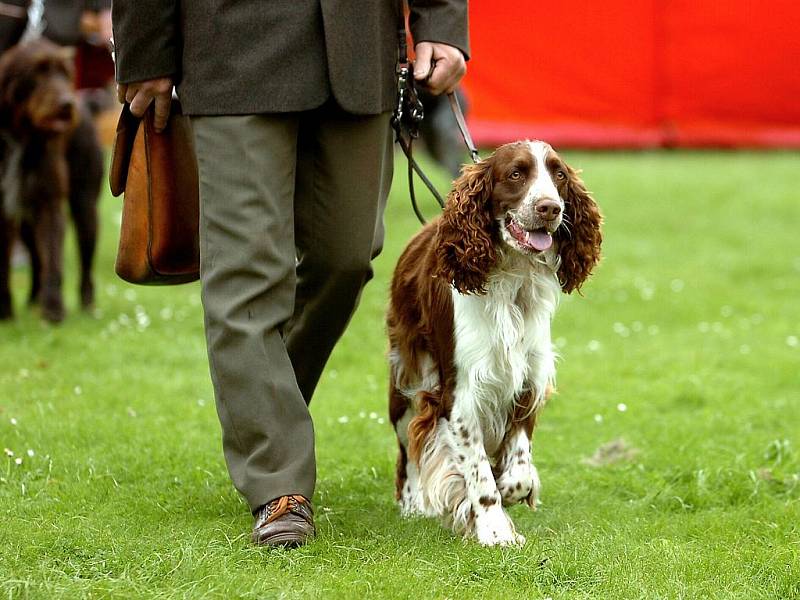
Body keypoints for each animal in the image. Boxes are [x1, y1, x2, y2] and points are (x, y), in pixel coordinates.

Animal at [0, 40, 103, 324]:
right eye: (38, 73)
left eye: (64, 73)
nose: (66, 104)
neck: (19, 136)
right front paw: (5, 313)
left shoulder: (49, 202)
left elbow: (54, 258)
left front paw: (54, 310)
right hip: (26, 224)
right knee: (36, 258)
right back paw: (32, 300)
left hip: (85, 205)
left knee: (85, 262)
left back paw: (87, 305)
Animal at [386, 139, 600, 544]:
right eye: (516, 173)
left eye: (559, 175)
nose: (550, 207)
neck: (513, 280)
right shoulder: (460, 395)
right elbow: (480, 476)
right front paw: (494, 530)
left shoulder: (527, 380)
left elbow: (517, 472)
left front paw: (509, 489)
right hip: (406, 379)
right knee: (408, 446)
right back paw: (412, 504)